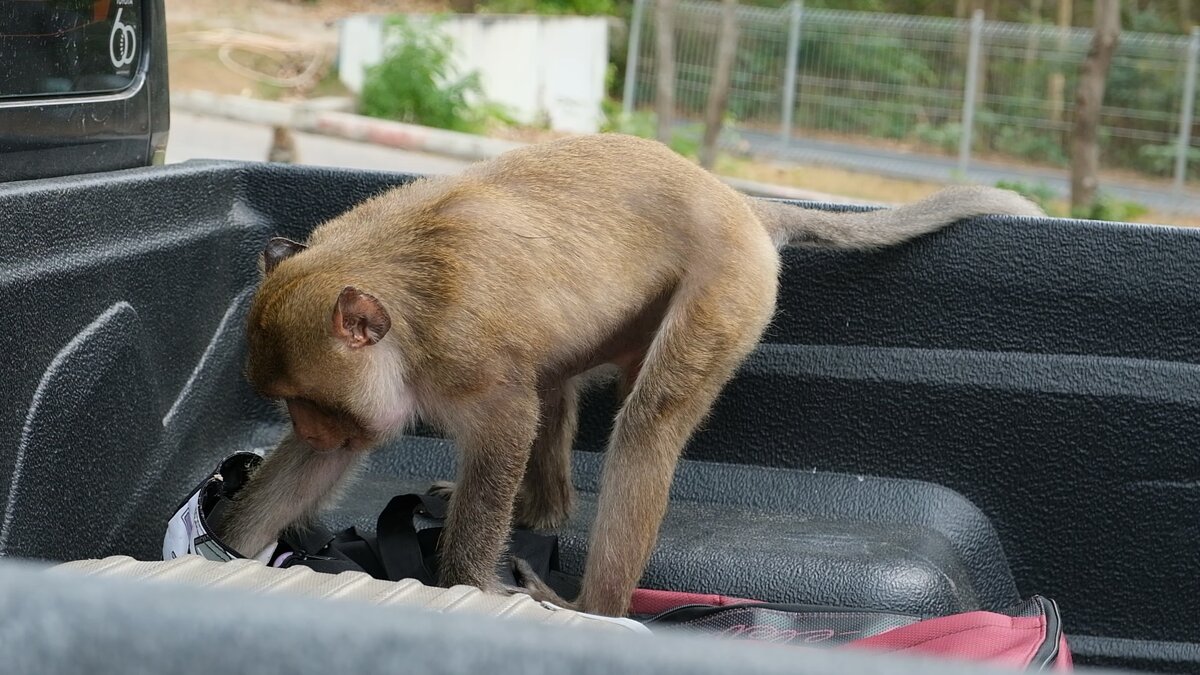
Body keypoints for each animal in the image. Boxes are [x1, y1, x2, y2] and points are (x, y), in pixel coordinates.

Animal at [220, 131, 1046, 614]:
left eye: (313, 405)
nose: (311, 427)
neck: (401, 286)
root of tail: (741, 203)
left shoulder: (462, 358)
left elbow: (508, 422)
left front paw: (466, 583)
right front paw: (226, 542)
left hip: (729, 287)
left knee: (648, 422)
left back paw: (593, 606)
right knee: (555, 378)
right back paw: (545, 510)